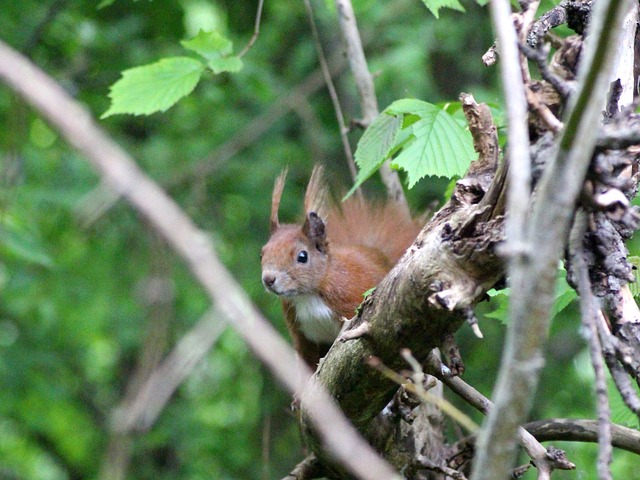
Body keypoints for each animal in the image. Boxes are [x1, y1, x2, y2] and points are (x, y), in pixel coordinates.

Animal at [260, 165, 423, 368]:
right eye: (261, 253)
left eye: (302, 256)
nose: (268, 279)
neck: (308, 296)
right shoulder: (302, 337)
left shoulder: (350, 301)